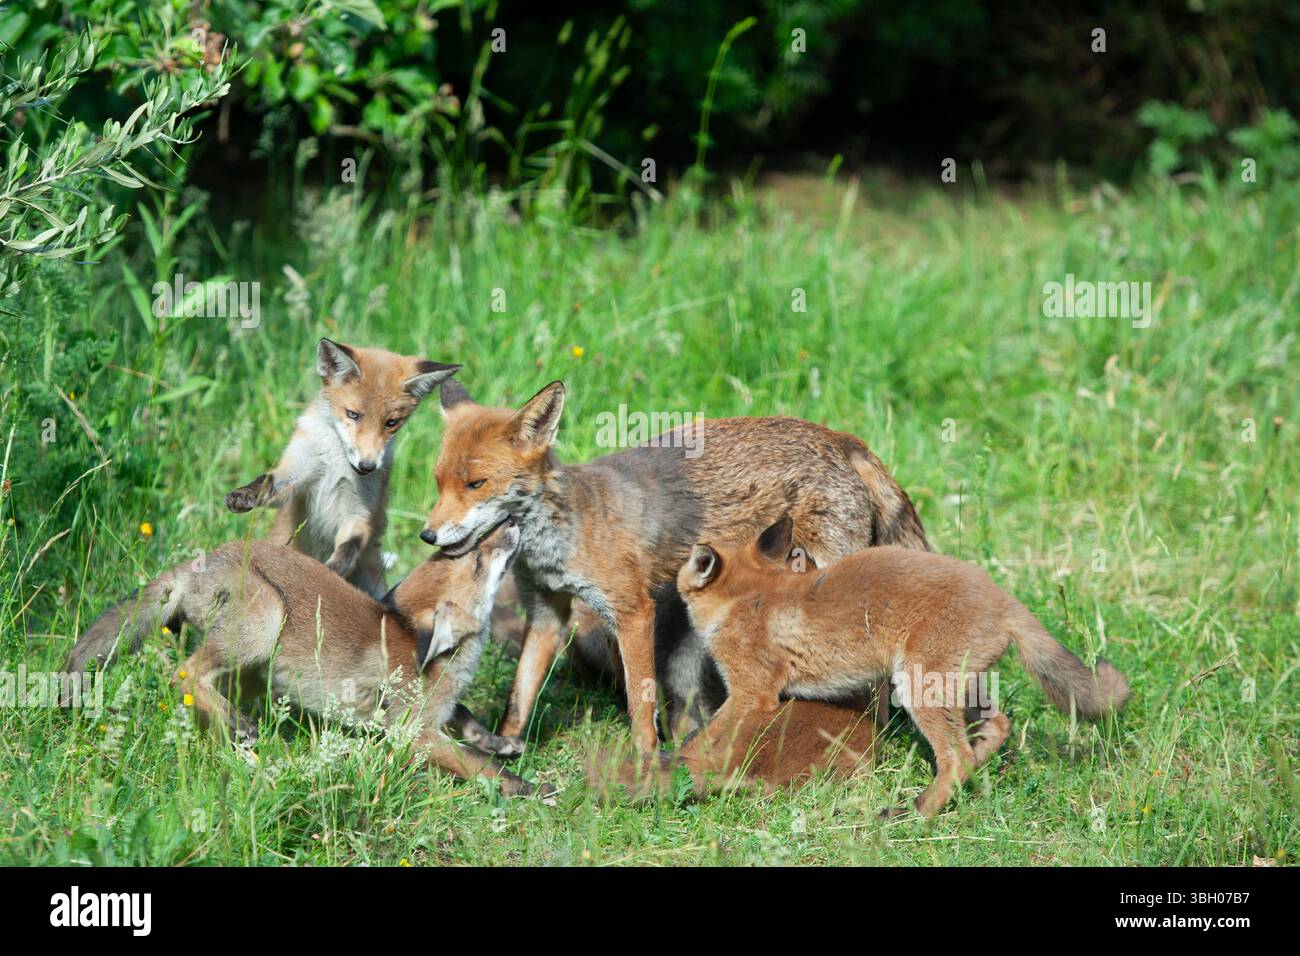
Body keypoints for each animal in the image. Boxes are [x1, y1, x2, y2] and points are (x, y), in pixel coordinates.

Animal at [63, 522, 548, 797]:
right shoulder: (412, 734)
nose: (510, 522)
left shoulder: (438, 715)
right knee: (185, 673)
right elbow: (475, 764)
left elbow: (469, 722)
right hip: (267, 616)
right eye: (479, 560)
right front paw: (525, 786)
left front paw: (501, 742)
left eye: (460, 551)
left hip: (254, 667)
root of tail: (199, 563)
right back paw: (238, 725)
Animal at [224, 338, 460, 599]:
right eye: (352, 415)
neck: (335, 464)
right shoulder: (296, 475)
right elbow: (267, 482)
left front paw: (329, 572)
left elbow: (349, 548)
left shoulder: (359, 513)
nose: (367, 466)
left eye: (391, 423)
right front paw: (244, 494)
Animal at [422, 379, 929, 756]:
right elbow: (520, 695)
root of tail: (843, 439)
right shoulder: (547, 610)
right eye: (439, 482)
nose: (428, 535)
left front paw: (646, 762)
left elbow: (639, 703)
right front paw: (506, 748)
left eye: (476, 484)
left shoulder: (632, 612)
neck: (563, 534)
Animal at [675, 516, 1131, 817]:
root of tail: (1003, 599)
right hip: (956, 686)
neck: (749, 596)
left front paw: (679, 768)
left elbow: (699, 741)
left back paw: (919, 813)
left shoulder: (752, 693)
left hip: (918, 689)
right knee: (993, 730)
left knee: (957, 757)